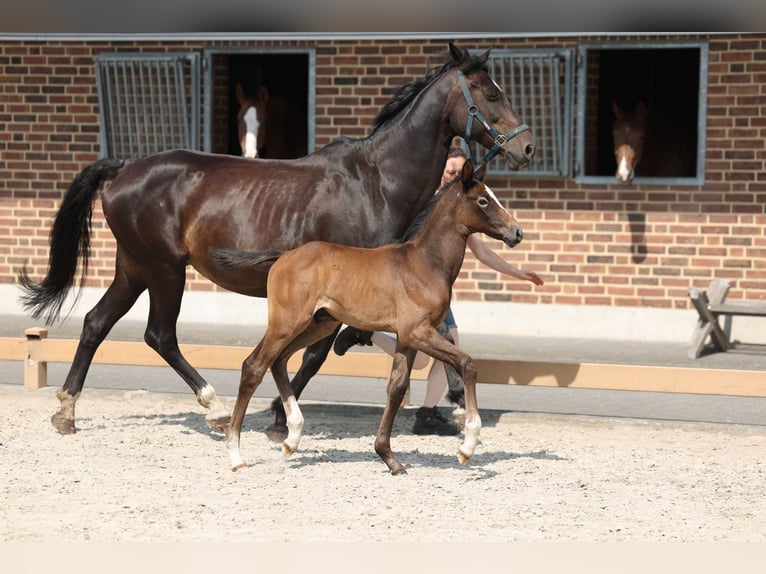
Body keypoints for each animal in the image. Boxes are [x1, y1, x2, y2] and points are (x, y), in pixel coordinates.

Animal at [18, 42, 535, 439]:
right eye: (491, 93)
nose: (526, 147)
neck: (375, 182)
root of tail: (124, 167)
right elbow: (317, 352)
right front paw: (277, 418)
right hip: (164, 270)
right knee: (158, 335)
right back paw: (214, 408)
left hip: (134, 268)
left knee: (96, 323)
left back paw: (66, 412)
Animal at [214, 158, 523, 475]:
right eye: (483, 200)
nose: (517, 232)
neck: (424, 263)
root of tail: (283, 256)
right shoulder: (418, 331)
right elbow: (467, 363)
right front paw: (467, 447)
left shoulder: (407, 338)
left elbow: (396, 388)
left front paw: (390, 458)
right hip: (286, 323)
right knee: (254, 366)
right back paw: (236, 455)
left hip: (319, 325)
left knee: (278, 361)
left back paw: (292, 437)